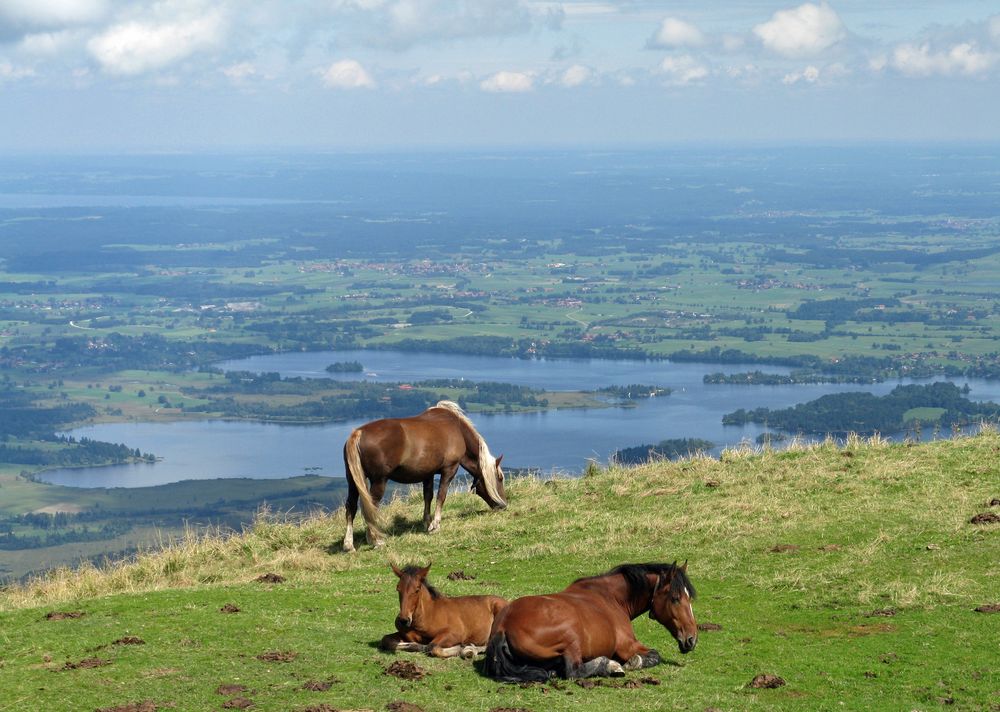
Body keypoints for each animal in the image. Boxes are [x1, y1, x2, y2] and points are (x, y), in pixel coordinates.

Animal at [342, 400, 504, 552]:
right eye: (500, 478)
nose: (503, 505)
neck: (457, 429)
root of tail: (358, 433)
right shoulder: (449, 469)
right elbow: (441, 496)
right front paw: (435, 525)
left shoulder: (428, 474)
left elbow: (428, 496)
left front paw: (427, 523)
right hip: (379, 480)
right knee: (371, 506)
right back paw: (376, 540)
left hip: (352, 481)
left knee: (351, 506)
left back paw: (349, 544)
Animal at [380, 564, 512, 660]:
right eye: (398, 588)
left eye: (417, 589)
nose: (403, 620)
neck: (426, 617)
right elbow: (387, 640)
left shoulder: (455, 633)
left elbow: (432, 647)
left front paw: (461, 648)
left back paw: (469, 650)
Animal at [484, 560, 696, 684]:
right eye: (675, 598)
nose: (691, 639)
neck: (611, 597)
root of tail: (502, 626)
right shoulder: (628, 645)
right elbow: (654, 655)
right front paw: (633, 662)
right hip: (571, 639)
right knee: (574, 671)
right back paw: (610, 666)